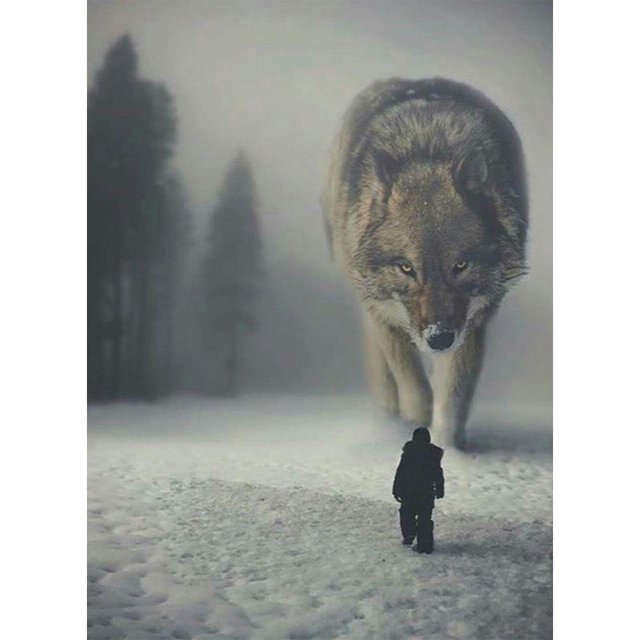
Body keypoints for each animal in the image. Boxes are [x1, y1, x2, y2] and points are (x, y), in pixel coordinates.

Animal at [322, 78, 528, 448]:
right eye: (407, 267)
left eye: (460, 265)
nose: (438, 338)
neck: (427, 148)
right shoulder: (382, 315)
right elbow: (412, 384)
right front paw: (414, 423)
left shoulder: (473, 322)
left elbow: (453, 396)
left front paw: (451, 450)